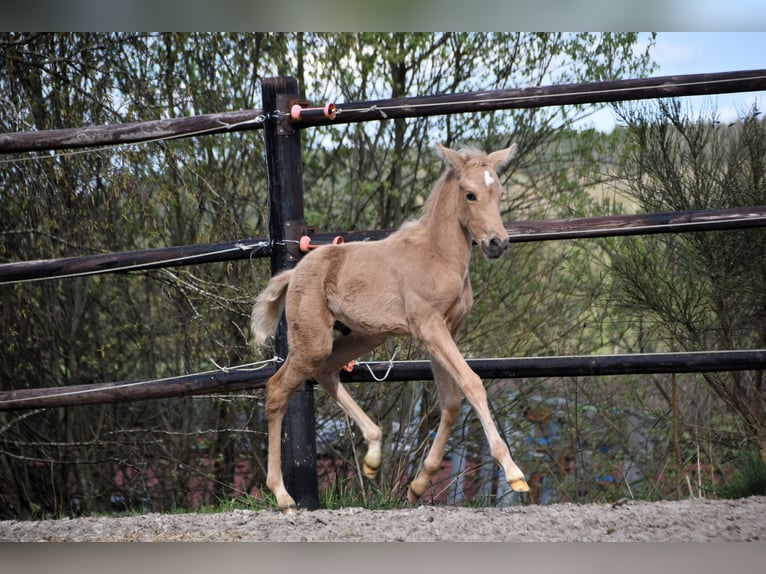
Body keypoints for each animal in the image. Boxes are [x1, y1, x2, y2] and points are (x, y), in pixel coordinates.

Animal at [255, 142, 532, 516]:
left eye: (499, 193)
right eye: (470, 194)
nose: (497, 243)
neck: (438, 254)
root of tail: (292, 273)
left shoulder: (444, 330)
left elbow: (450, 401)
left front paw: (417, 486)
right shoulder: (430, 327)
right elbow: (473, 385)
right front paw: (515, 473)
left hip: (363, 336)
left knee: (326, 373)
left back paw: (373, 455)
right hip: (311, 341)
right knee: (276, 390)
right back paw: (283, 497)